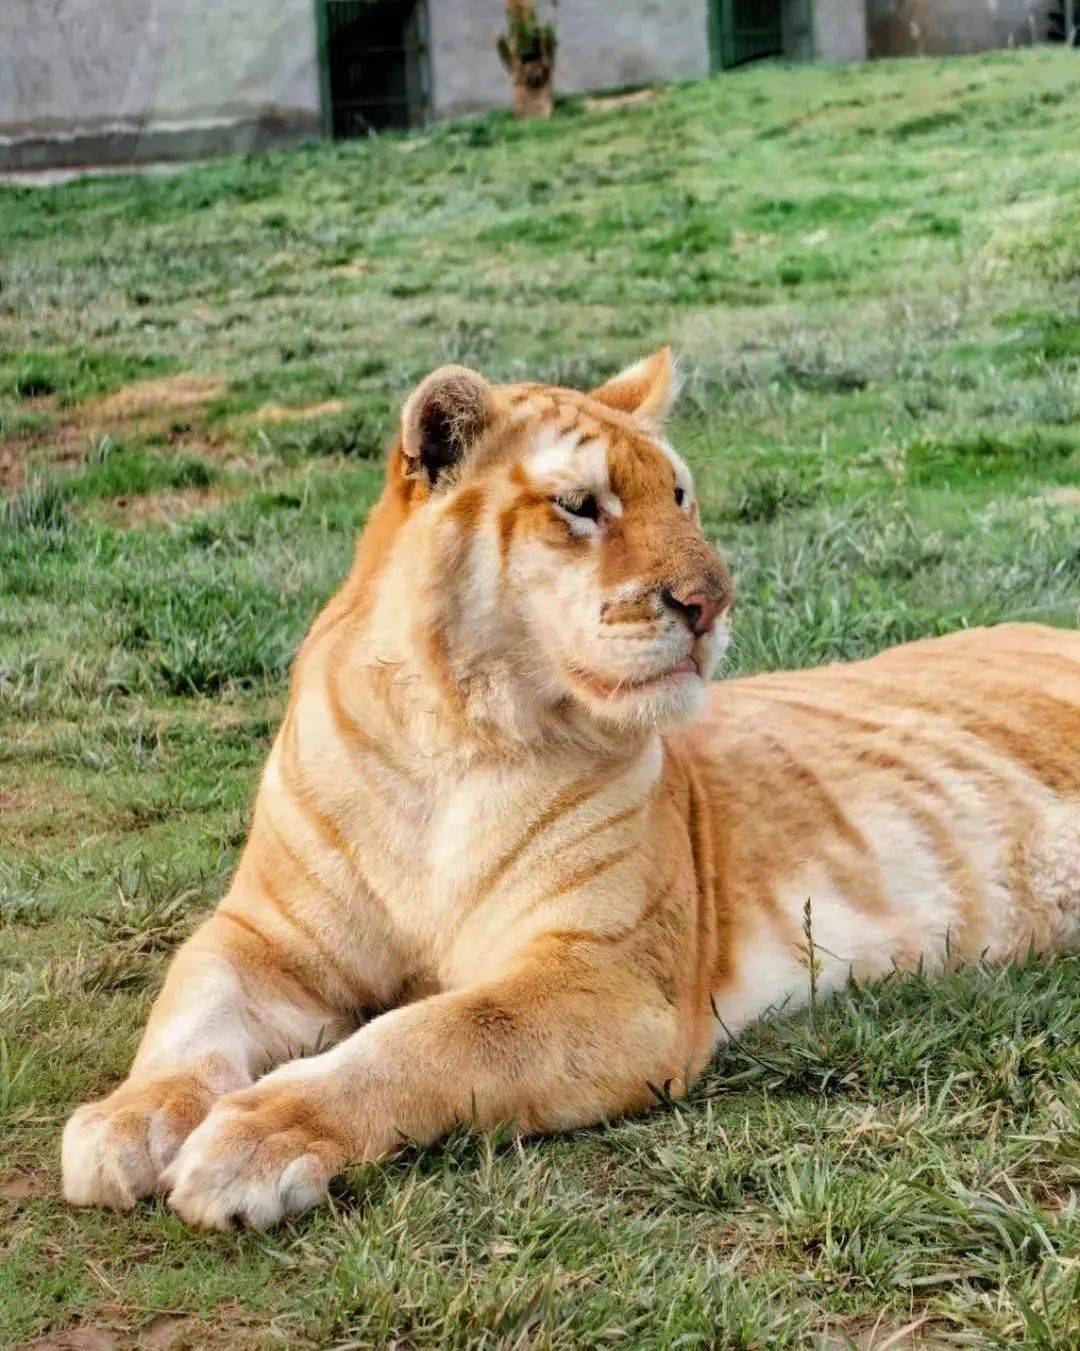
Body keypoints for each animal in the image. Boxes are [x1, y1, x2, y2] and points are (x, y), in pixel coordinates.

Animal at [62, 349, 1080, 1229]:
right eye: (581, 506)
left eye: (680, 495)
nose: (711, 602)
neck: (452, 740)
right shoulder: (267, 936)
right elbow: (189, 1009)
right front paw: (126, 1122)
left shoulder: (608, 979)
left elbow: (429, 1036)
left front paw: (255, 1139)